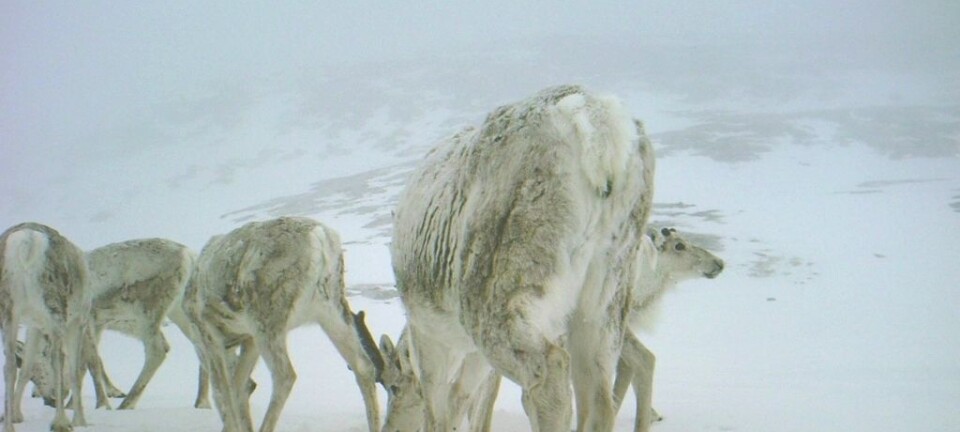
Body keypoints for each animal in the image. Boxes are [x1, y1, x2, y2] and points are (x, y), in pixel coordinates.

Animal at [0, 223, 91, 432]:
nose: (48, 399)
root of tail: (27, 243)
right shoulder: (77, 323)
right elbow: (74, 371)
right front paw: (80, 420)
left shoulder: (34, 326)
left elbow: (26, 368)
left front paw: (16, 415)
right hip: (55, 312)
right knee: (57, 359)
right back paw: (60, 422)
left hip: (9, 314)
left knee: (9, 366)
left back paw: (8, 425)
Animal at [182, 216, 384, 432]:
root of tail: (319, 237)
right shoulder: (249, 340)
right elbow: (239, 388)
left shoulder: (209, 336)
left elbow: (223, 393)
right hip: (331, 309)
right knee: (363, 366)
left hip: (267, 318)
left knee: (285, 375)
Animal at [387, 85, 656, 432]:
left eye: (393, 387)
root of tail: (595, 118)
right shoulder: (472, 358)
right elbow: (461, 401)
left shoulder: (429, 338)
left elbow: (439, 411)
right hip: (607, 293)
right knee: (597, 395)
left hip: (500, 296)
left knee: (550, 373)